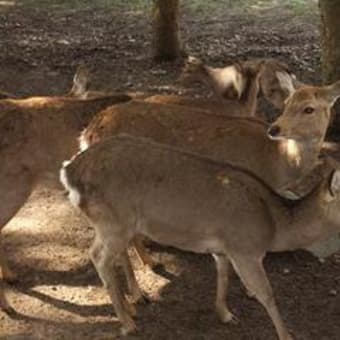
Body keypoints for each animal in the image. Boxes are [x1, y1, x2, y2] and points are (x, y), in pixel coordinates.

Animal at [60, 134, 340, 338]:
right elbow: (266, 294)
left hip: (112, 224)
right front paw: (287, 336)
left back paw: (134, 303)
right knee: (97, 256)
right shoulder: (245, 248)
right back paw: (128, 323)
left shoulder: (223, 247)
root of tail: (69, 171)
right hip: (113, 222)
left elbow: (223, 276)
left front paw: (226, 314)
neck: (273, 227)